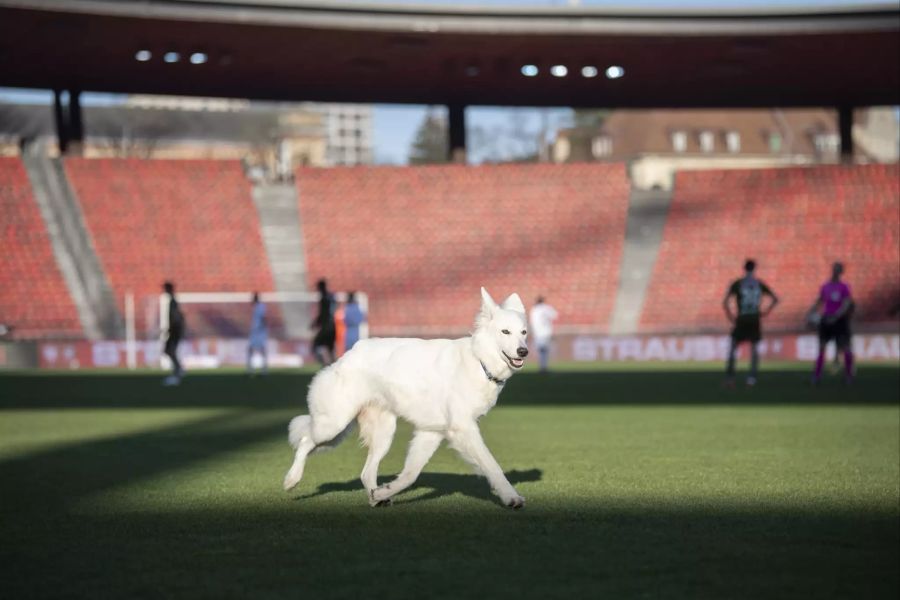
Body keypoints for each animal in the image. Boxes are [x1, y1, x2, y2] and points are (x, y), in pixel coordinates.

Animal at [284, 288, 528, 508]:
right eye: (505, 332)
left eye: (524, 332)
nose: (524, 352)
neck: (479, 361)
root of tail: (350, 353)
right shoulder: (464, 428)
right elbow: (491, 465)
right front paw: (511, 497)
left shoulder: (430, 433)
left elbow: (410, 474)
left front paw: (385, 491)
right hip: (333, 425)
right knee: (305, 441)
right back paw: (292, 479)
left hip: (380, 434)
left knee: (366, 473)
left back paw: (376, 498)